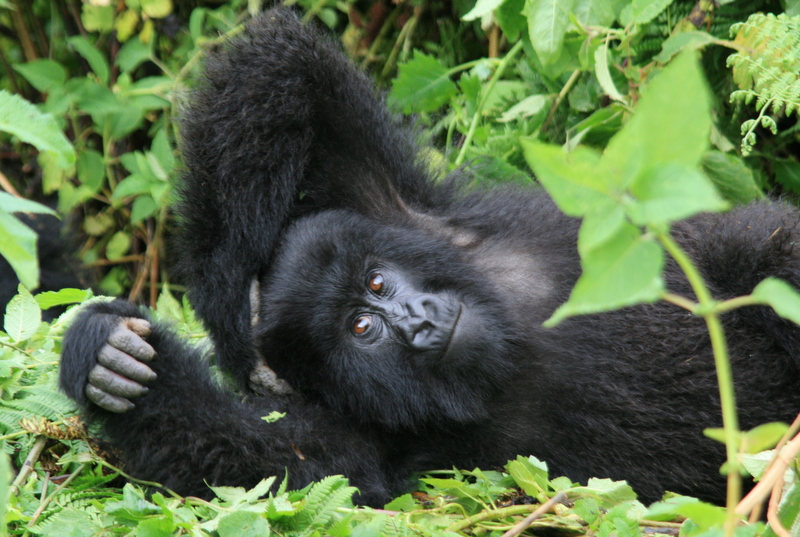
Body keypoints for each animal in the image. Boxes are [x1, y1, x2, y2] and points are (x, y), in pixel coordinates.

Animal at [57, 8, 800, 504]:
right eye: (362, 328)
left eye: (379, 283)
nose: (418, 321)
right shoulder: (369, 435)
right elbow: (272, 460)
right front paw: (109, 360)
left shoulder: (413, 217)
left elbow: (281, 71)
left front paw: (232, 301)